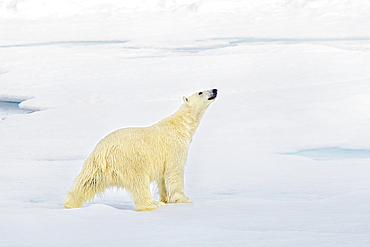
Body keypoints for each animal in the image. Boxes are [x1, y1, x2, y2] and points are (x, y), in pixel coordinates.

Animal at [63, 88, 217, 210]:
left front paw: (166, 198)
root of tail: (103, 153)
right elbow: (174, 172)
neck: (180, 126)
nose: (215, 90)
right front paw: (184, 199)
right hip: (131, 161)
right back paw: (152, 204)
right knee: (139, 183)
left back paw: (69, 203)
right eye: (200, 92)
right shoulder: (174, 148)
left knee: (86, 183)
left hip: (95, 166)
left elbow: (162, 178)